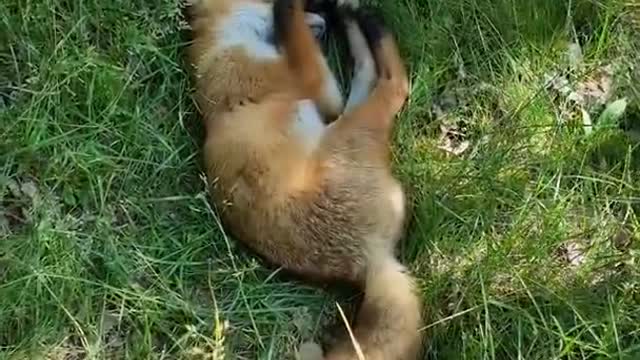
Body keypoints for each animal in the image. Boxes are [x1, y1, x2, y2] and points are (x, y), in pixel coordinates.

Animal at [185, 0, 424, 358]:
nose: (324, 22)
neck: (222, 41)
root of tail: (370, 258)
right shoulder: (312, 85)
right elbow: (297, 39)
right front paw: (289, 8)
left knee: (368, 74)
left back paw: (356, 18)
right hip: (349, 128)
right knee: (393, 86)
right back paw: (373, 27)